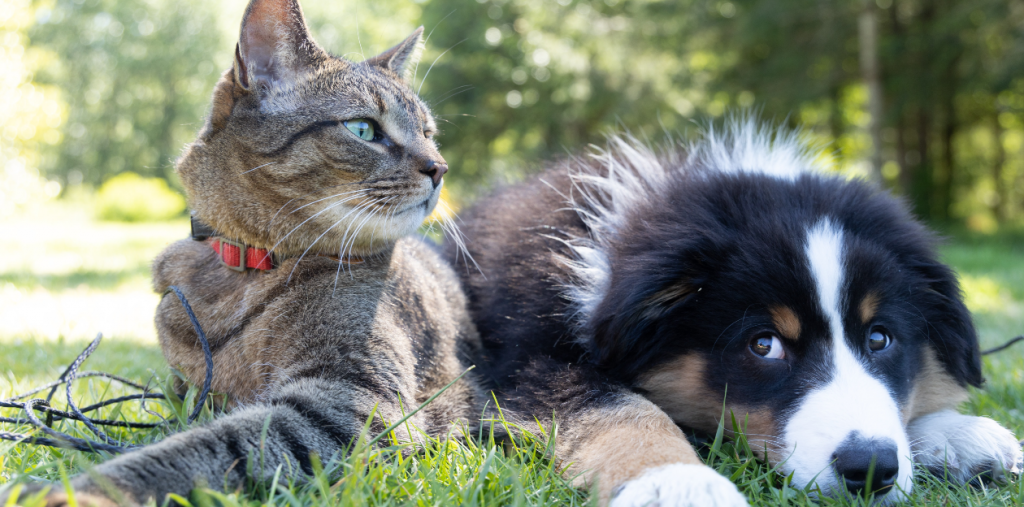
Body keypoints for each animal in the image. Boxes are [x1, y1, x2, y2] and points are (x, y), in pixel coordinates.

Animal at [2, 0, 481, 505]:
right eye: (363, 128)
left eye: (428, 132)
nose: (440, 167)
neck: (244, 267)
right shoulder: (187, 391)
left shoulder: (355, 400)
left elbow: (202, 447)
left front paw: (89, 490)